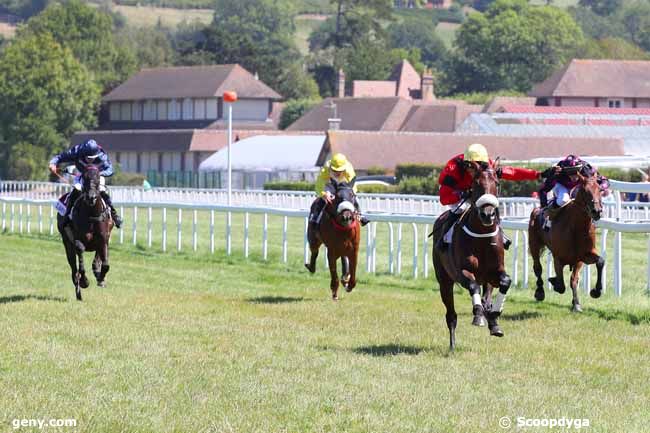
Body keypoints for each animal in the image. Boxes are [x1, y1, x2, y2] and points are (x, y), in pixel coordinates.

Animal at [56, 165, 113, 300]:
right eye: (85, 178)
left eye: (97, 178)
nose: (91, 197)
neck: (91, 214)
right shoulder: (77, 241)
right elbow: (80, 257)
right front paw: (85, 281)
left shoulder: (104, 239)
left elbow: (105, 264)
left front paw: (100, 278)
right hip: (67, 244)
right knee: (74, 269)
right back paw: (79, 291)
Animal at [430, 162, 512, 352]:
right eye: (476, 184)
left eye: (497, 183)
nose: (488, 214)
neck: (481, 236)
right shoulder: (462, 273)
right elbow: (473, 285)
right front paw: (477, 312)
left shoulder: (495, 272)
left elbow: (505, 281)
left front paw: (494, 315)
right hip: (444, 280)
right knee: (451, 315)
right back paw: (454, 343)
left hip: (486, 280)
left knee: (487, 296)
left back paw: (490, 318)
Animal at [528, 171, 604, 310]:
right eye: (585, 191)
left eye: (600, 190)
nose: (597, 211)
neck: (576, 227)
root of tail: (537, 209)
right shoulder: (558, 257)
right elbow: (561, 285)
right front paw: (553, 281)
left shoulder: (581, 257)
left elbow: (596, 264)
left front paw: (590, 295)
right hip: (534, 245)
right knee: (537, 267)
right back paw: (540, 291)